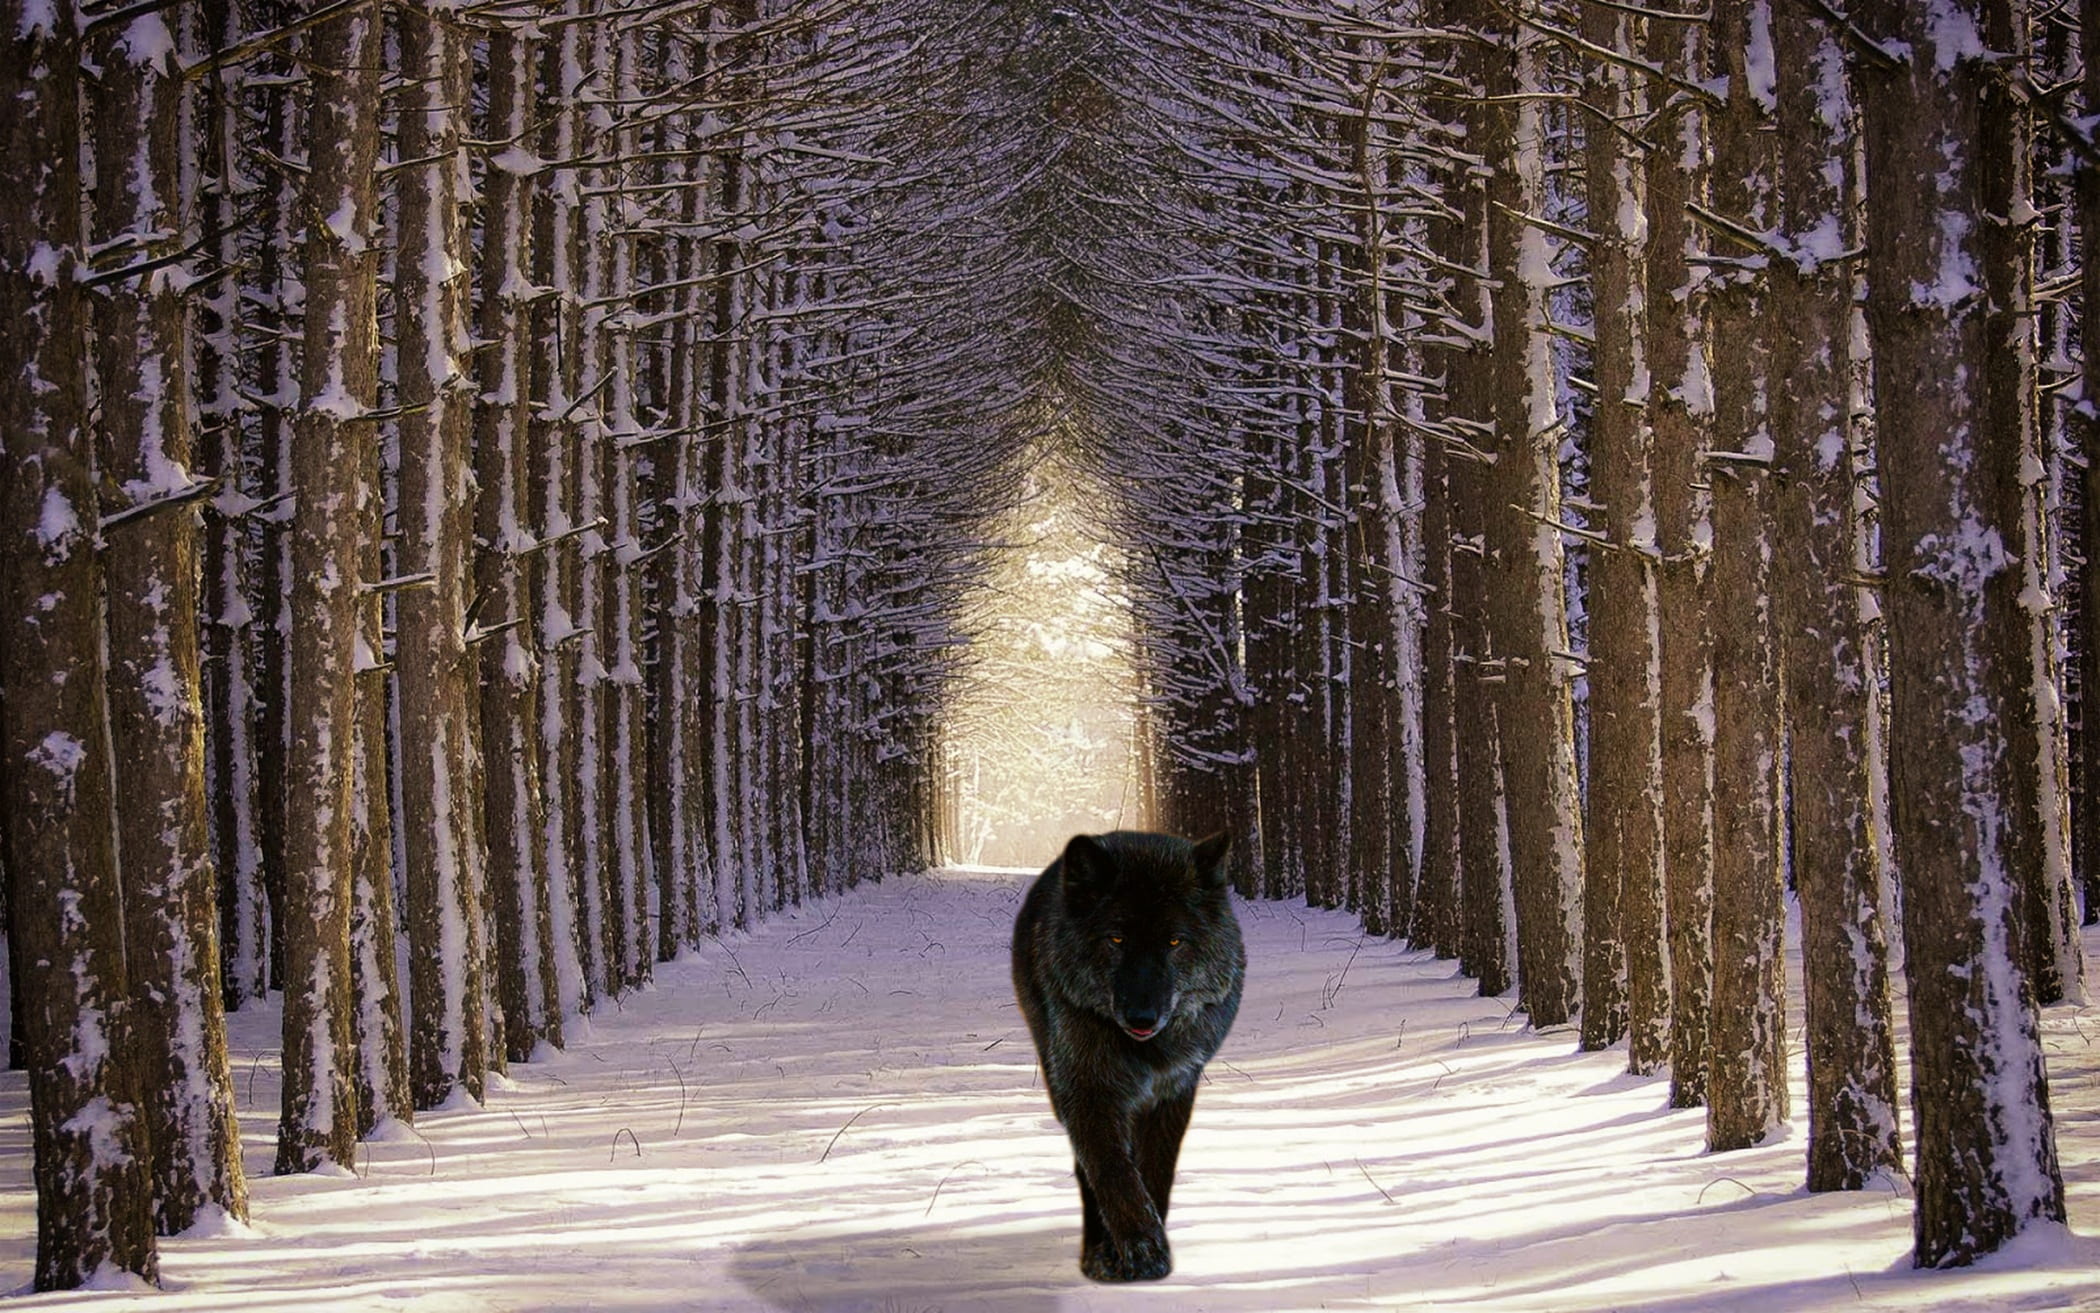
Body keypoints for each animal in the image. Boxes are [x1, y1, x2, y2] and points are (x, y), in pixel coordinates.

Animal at [1010, 829, 1244, 1283]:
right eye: (1116, 939)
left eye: (1174, 941)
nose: (1141, 1016)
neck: (1146, 1051)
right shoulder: (1087, 1090)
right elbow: (1112, 1170)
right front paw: (1135, 1250)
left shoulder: (1174, 1090)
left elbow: (1156, 1171)